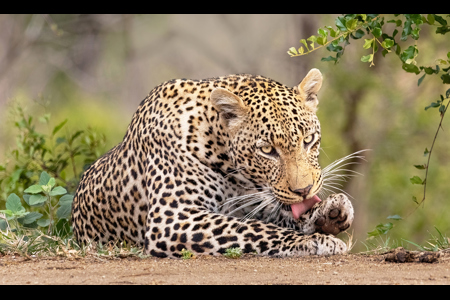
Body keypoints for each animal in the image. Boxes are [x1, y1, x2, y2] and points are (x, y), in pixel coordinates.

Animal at [72, 68, 356, 258]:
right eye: (267, 150)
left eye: (309, 140)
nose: (304, 191)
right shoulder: (173, 218)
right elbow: (251, 229)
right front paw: (316, 242)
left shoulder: (254, 203)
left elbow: (277, 216)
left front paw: (331, 210)